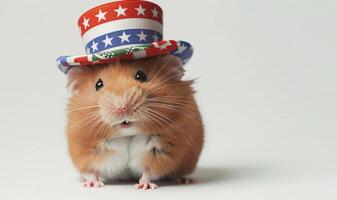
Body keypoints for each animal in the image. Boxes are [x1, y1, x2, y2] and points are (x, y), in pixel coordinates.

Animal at [65, 54, 202, 189]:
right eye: (98, 84)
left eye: (141, 76)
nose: (122, 108)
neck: (127, 133)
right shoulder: (87, 151)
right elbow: (92, 170)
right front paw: (92, 185)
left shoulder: (159, 151)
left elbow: (148, 169)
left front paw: (144, 186)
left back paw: (185, 180)